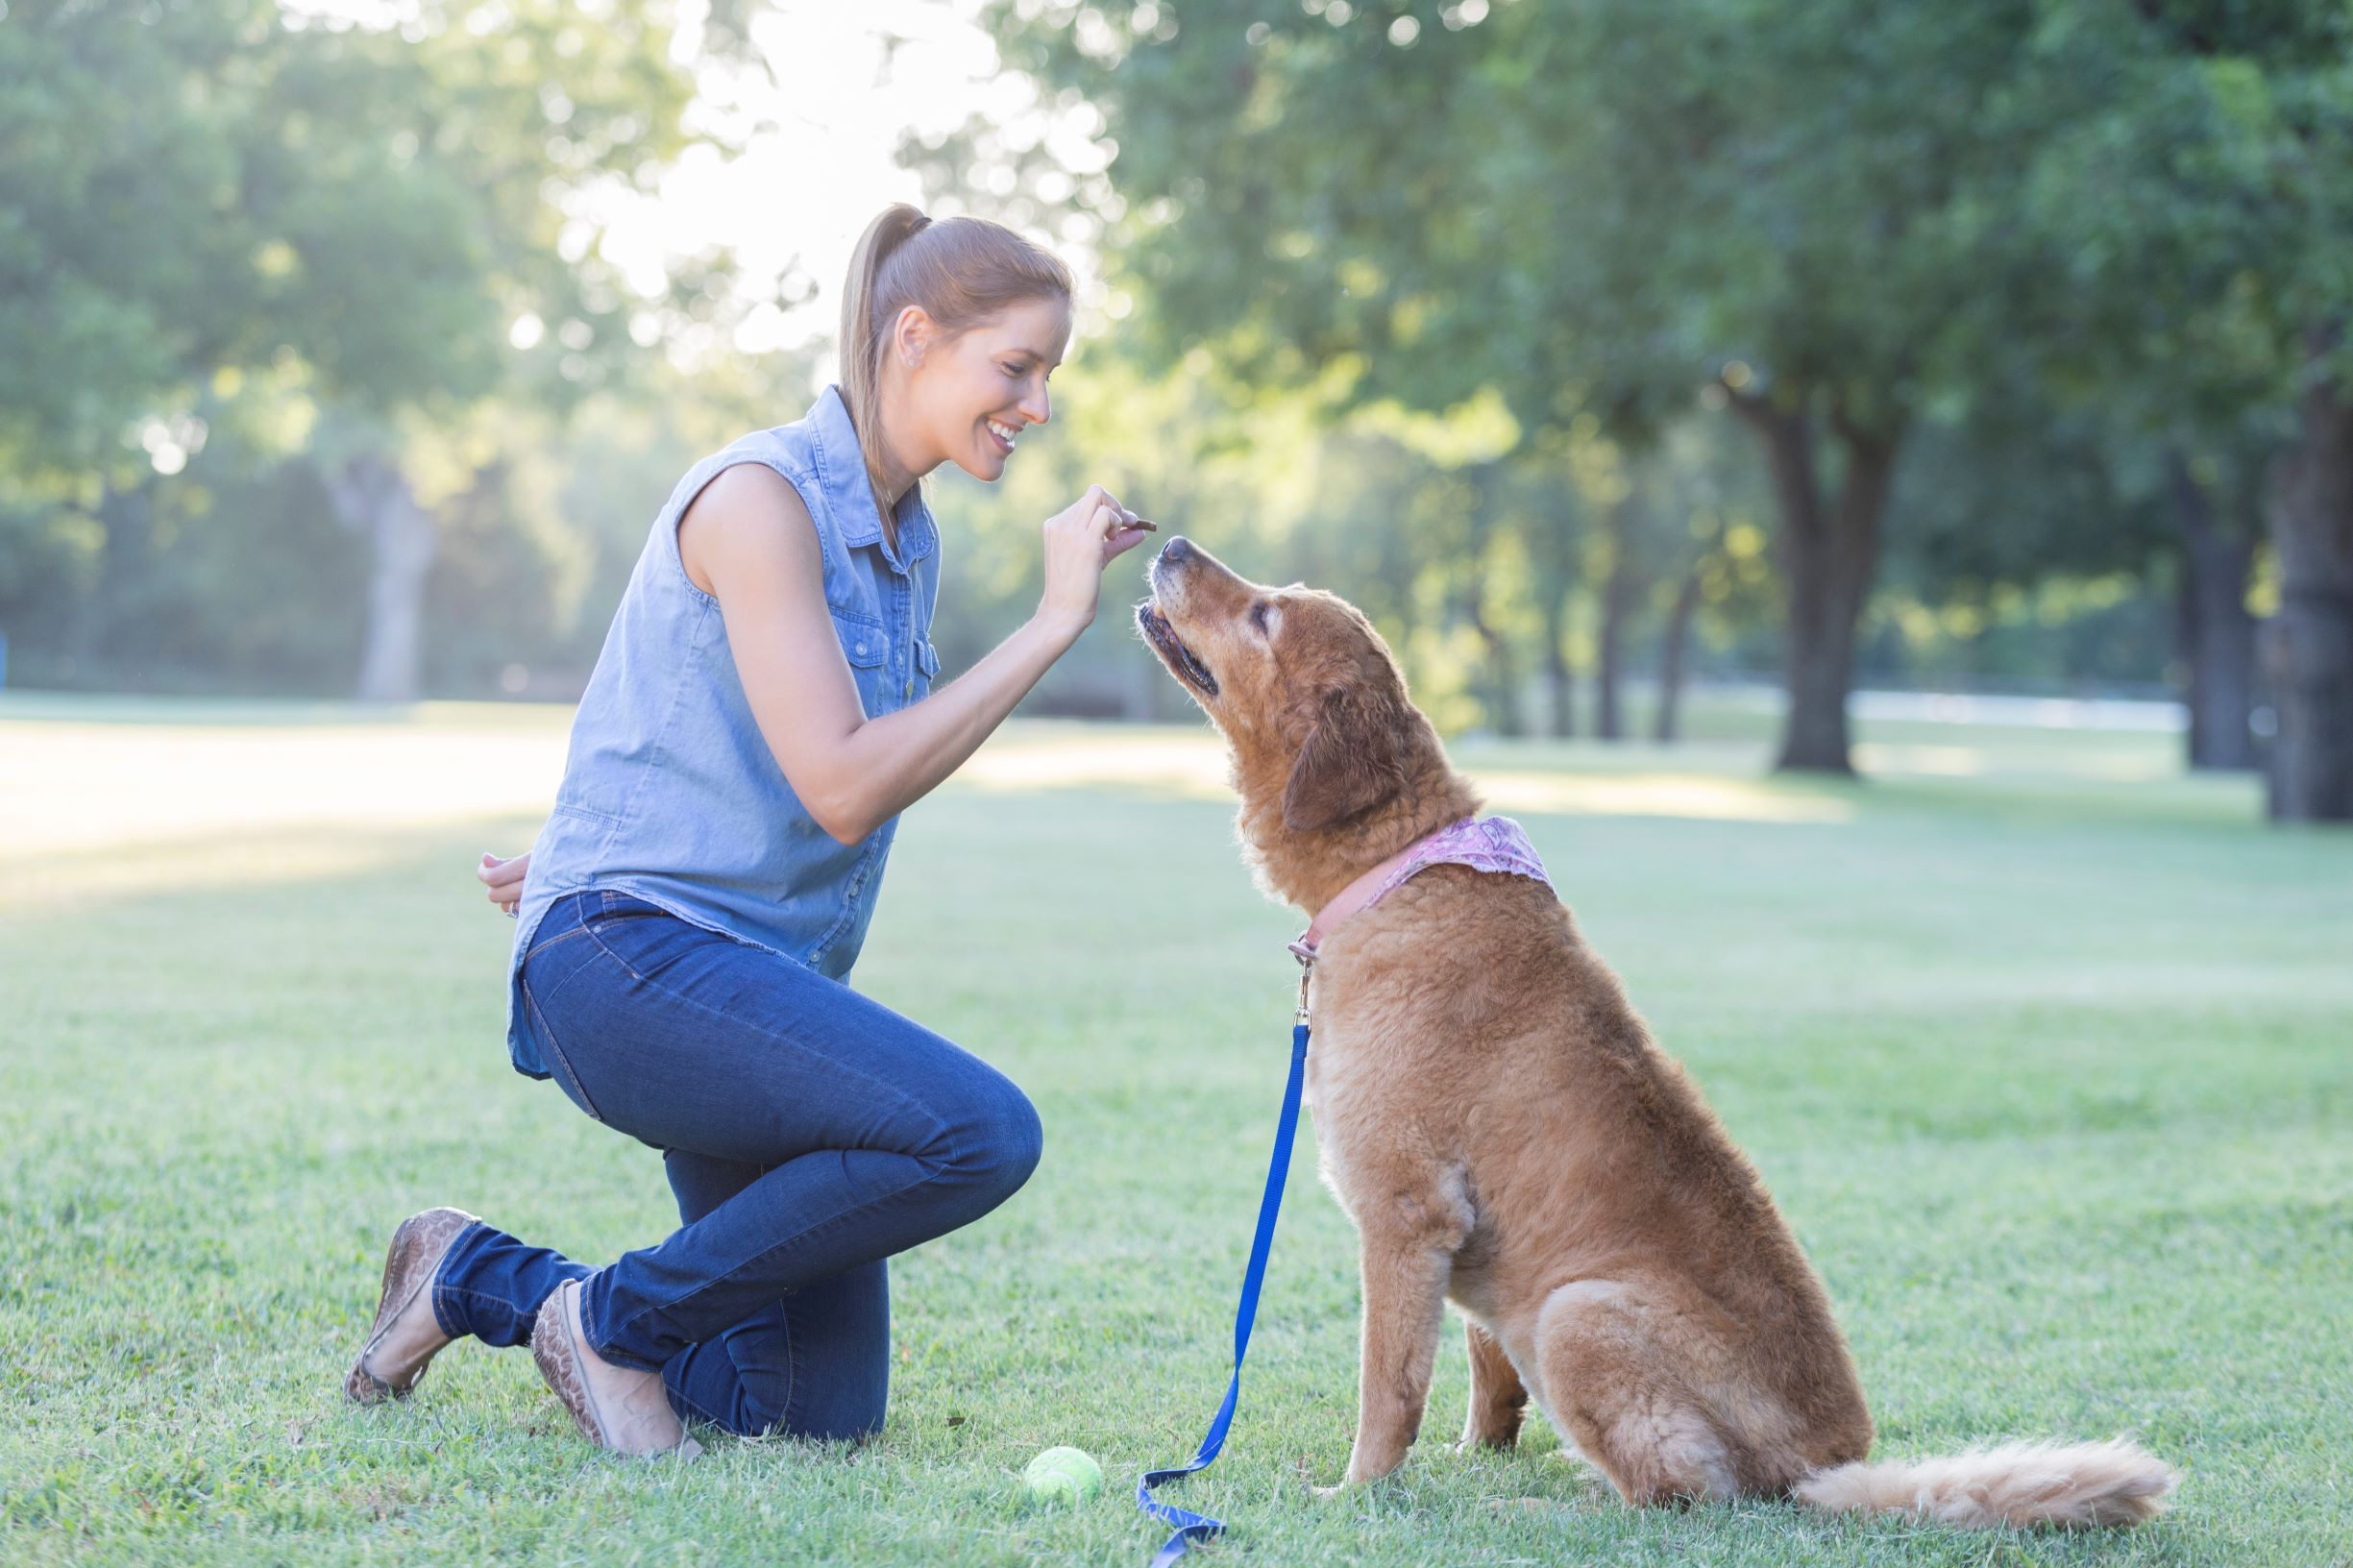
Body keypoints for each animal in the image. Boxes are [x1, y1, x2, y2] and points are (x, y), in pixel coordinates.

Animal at [1129, 536, 2173, 1525]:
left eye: (1264, 614)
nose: (1170, 541)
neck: (1398, 862)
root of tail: (1827, 1467)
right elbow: (1483, 1374)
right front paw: (1476, 1456)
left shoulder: (1405, 1215)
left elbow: (1388, 1392)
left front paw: (1358, 1494)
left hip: (1577, 1313)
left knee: (1675, 1494)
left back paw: (1544, 1505)